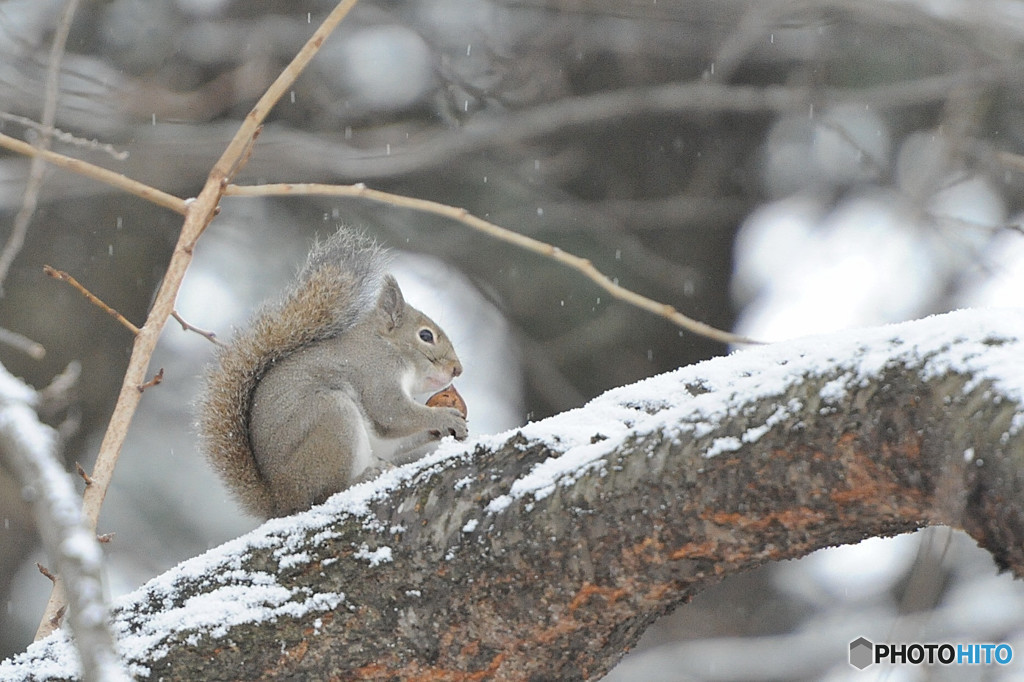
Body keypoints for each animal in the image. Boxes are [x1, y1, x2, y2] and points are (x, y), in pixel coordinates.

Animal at [196, 228, 468, 516]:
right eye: (425, 336)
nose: (457, 369)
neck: (386, 345)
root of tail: (281, 502)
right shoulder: (376, 374)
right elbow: (391, 412)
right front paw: (443, 418)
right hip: (332, 421)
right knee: (325, 493)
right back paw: (362, 478)